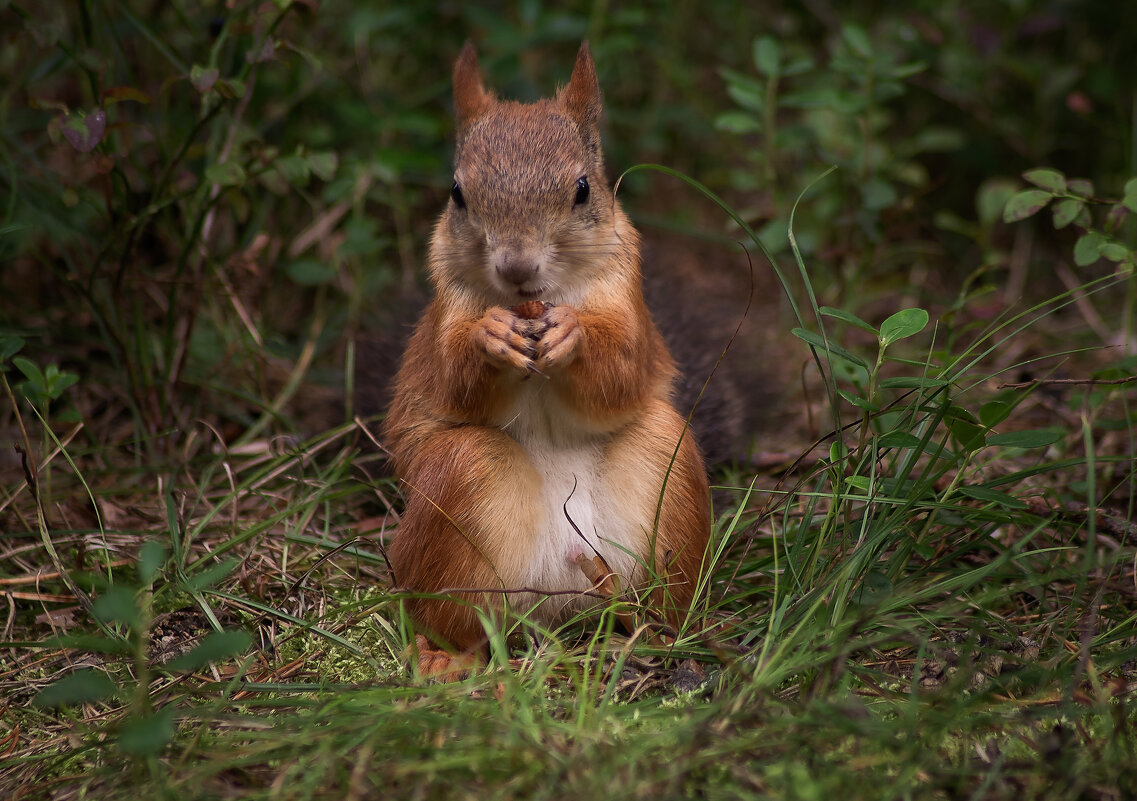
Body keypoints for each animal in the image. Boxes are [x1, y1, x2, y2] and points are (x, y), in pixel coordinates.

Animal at [382, 42, 709, 669]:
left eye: (583, 188)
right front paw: (489, 339)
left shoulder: (628, 304)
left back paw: (655, 635)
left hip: (666, 484)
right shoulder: (444, 321)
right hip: (462, 491)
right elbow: (454, 380)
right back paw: (447, 658)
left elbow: (621, 373)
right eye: (457, 193)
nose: (517, 267)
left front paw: (573, 336)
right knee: (461, 620)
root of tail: (562, 594)